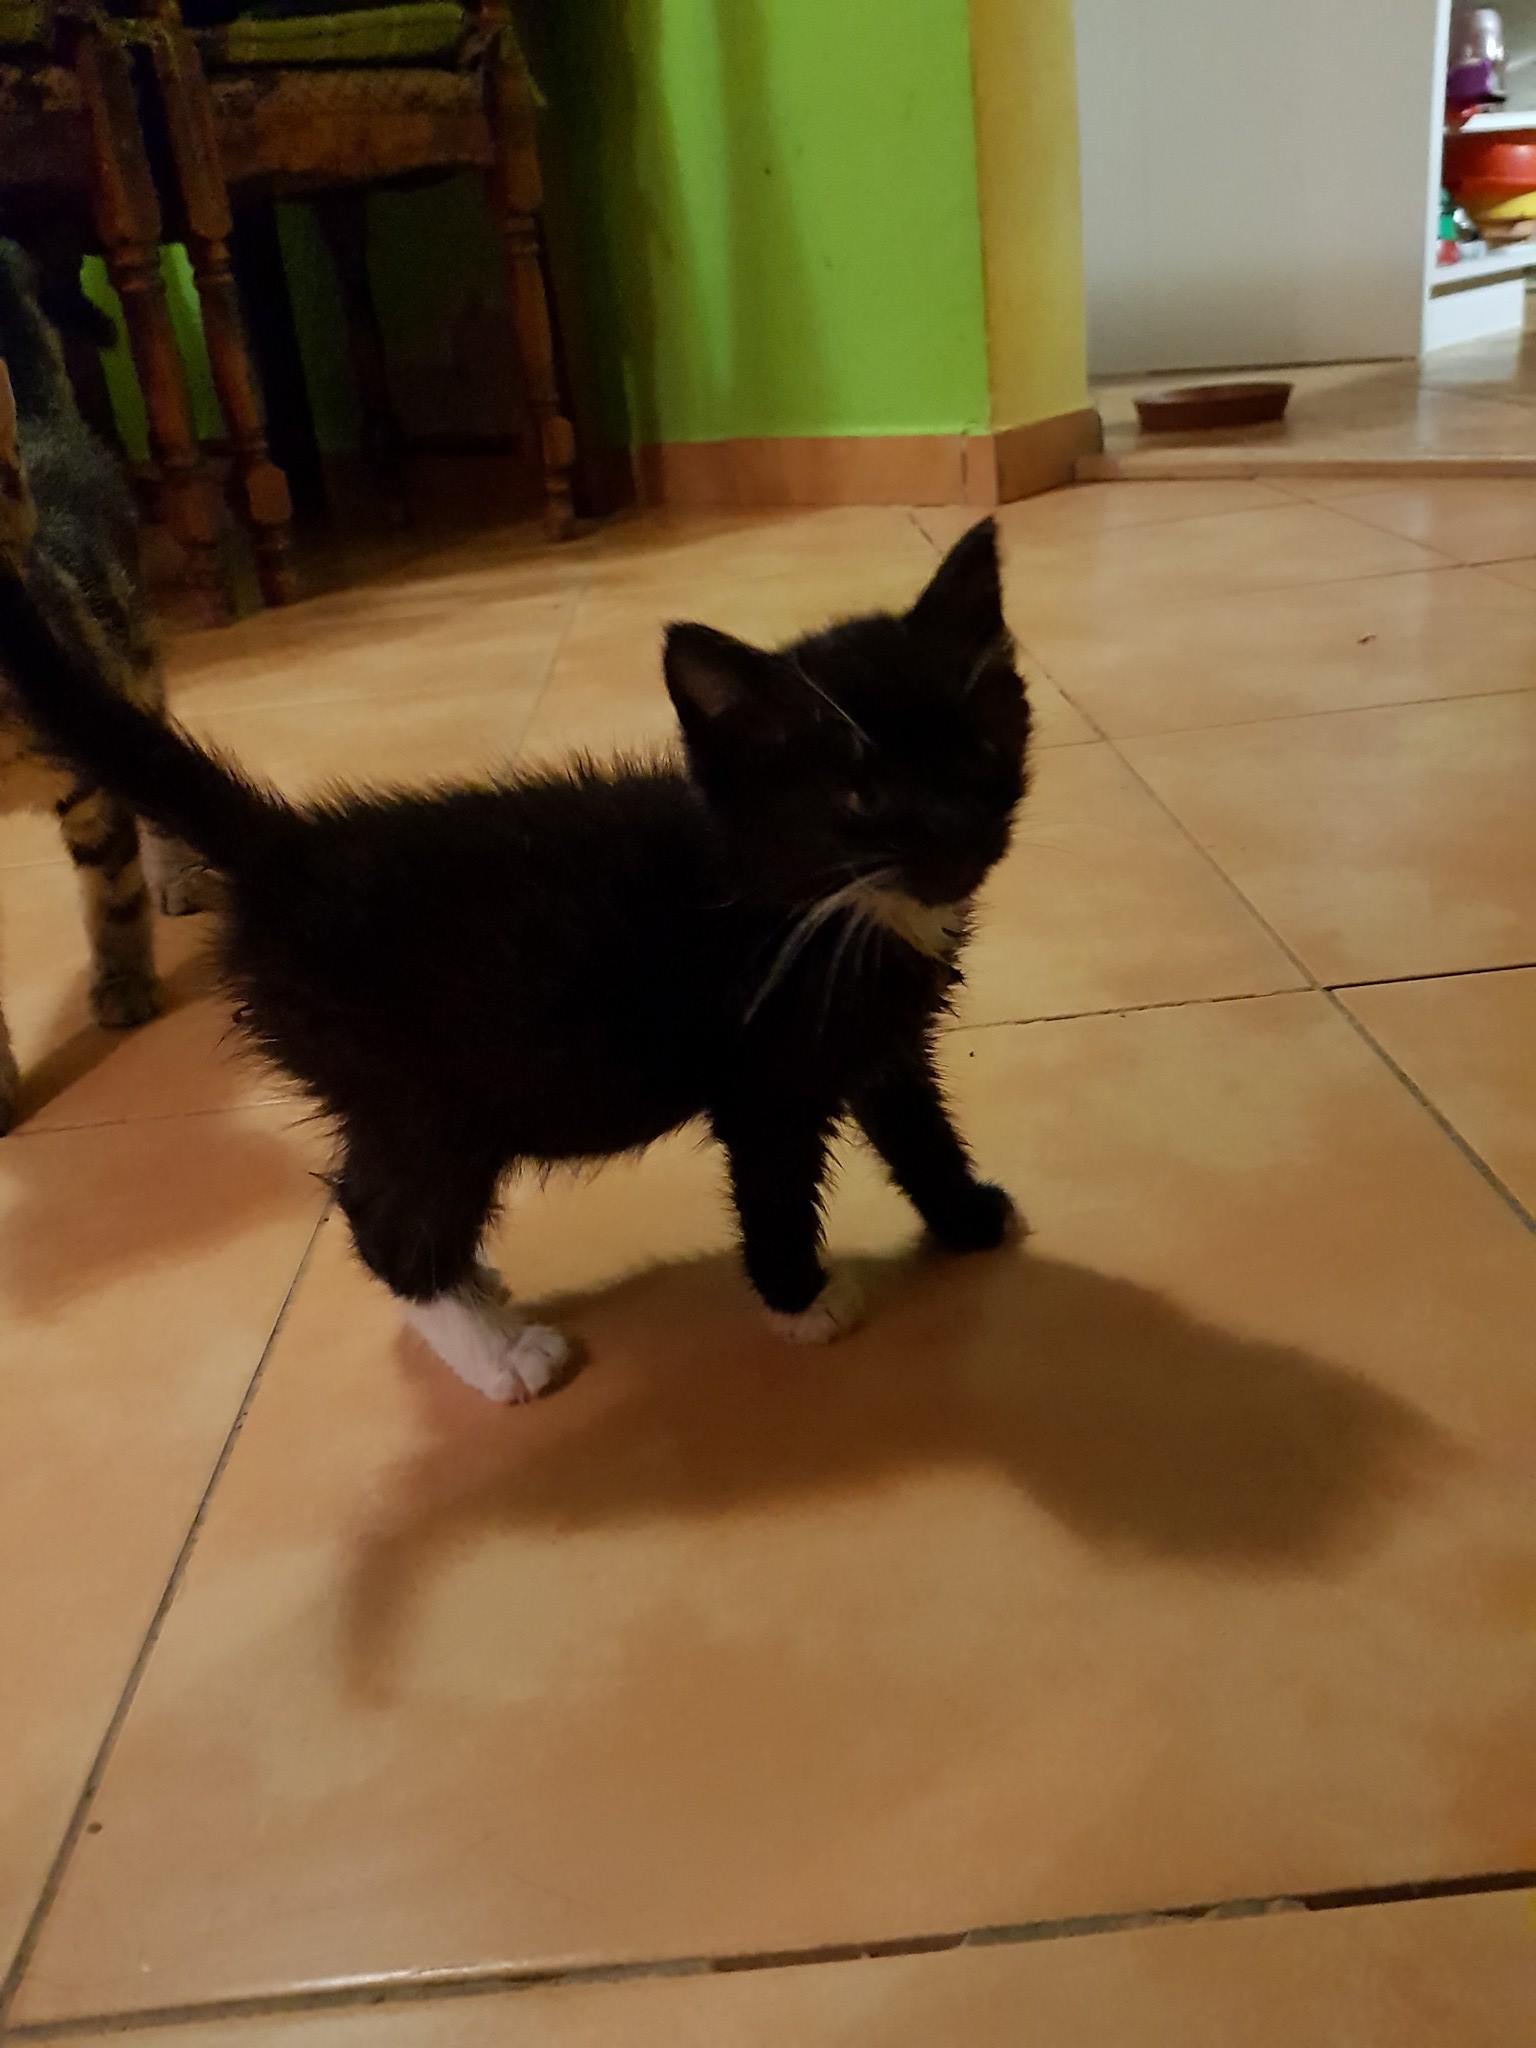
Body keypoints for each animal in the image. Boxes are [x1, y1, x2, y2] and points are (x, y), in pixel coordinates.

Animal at [0, 513, 1030, 1399]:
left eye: (981, 748)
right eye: (861, 799)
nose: (958, 836)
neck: (819, 907)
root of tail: (291, 851)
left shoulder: (880, 1040)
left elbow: (915, 1123)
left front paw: (967, 1215)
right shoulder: (762, 1074)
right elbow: (774, 1179)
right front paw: (802, 1301)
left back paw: (475, 1285)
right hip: (425, 1096)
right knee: (381, 1220)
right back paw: (499, 1351)